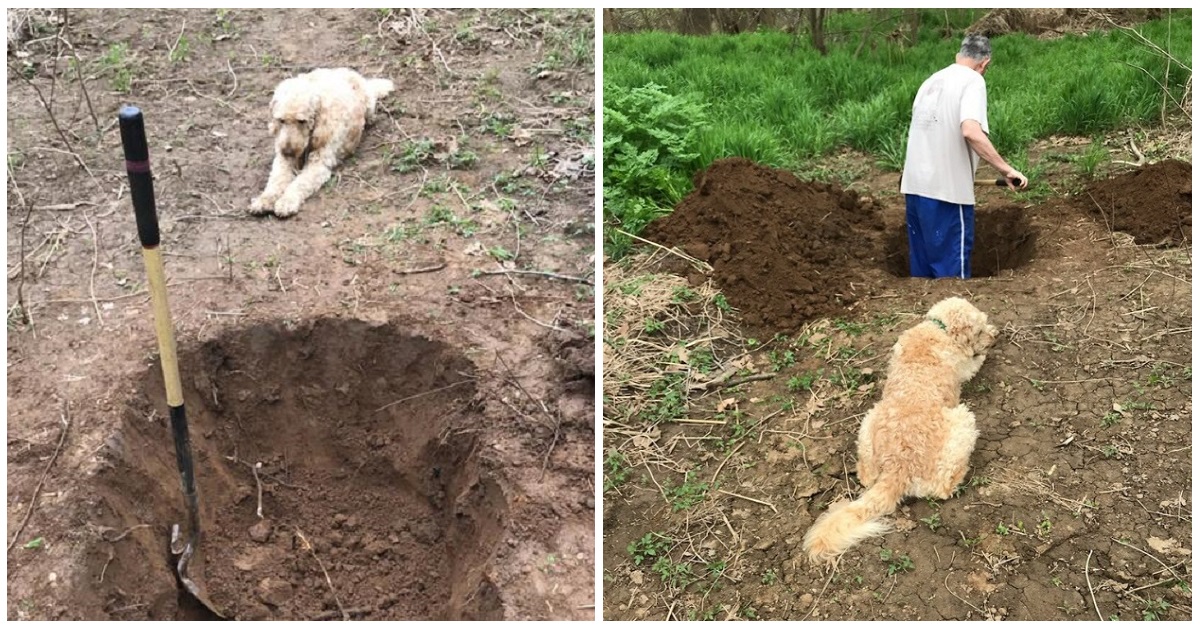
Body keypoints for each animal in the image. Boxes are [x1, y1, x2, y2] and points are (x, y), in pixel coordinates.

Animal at [250, 66, 396, 218]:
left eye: (302, 121)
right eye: (281, 120)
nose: (288, 152)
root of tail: (345, 70)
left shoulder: (318, 165)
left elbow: (300, 183)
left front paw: (287, 201)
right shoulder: (283, 159)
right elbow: (276, 181)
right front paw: (264, 200)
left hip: (368, 105)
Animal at [801, 296, 998, 564]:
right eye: (978, 330)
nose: (994, 337)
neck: (938, 328)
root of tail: (898, 466)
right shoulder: (965, 368)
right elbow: (975, 361)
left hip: (868, 424)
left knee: (865, 475)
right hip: (963, 421)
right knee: (943, 488)